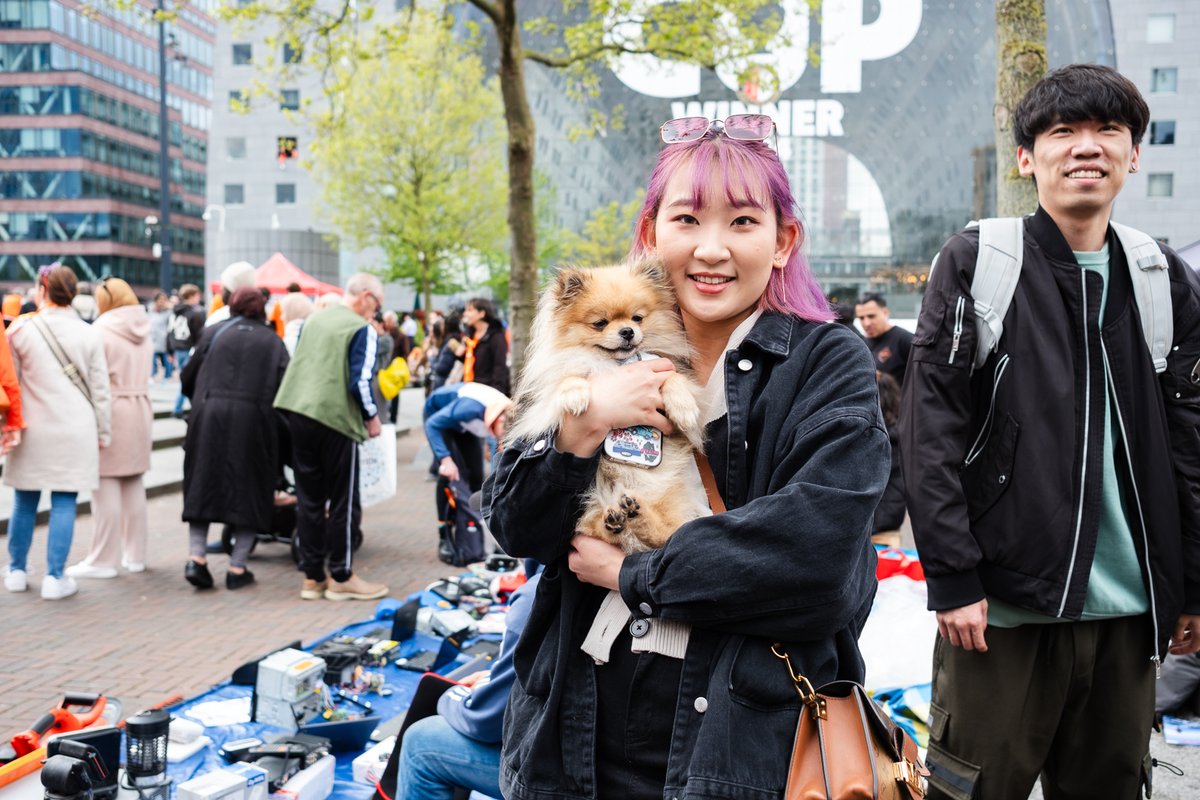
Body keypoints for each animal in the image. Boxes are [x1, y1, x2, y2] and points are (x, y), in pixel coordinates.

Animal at [506, 260, 710, 554]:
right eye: (600, 323)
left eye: (637, 318)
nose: (627, 332)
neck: (614, 363)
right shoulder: (548, 393)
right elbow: (567, 379)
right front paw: (576, 395)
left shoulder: (669, 372)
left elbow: (675, 379)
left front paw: (683, 407)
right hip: (590, 510)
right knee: (597, 531)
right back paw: (615, 521)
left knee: (666, 535)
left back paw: (636, 516)